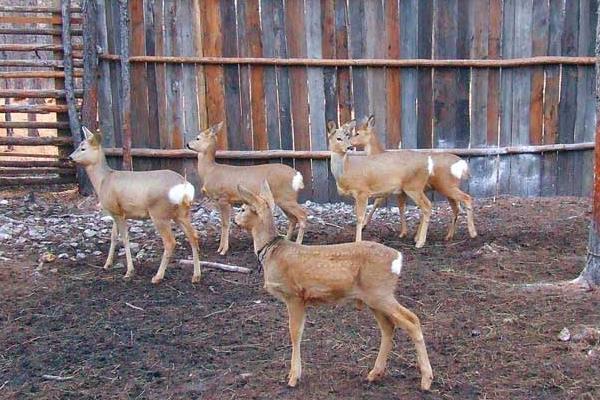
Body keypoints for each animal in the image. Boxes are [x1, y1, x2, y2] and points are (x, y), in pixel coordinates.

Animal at [69, 126, 202, 282]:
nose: (70, 157)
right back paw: (196, 275)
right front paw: (107, 264)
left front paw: (129, 271)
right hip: (181, 213)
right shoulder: (116, 211)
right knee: (193, 236)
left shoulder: (117, 212)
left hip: (159, 213)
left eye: (83, 148)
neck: (103, 180)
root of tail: (185, 187)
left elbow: (125, 238)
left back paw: (158, 276)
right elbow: (113, 237)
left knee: (170, 242)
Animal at [188, 122, 308, 255]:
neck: (210, 171)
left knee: (303, 215)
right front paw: (220, 248)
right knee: (293, 218)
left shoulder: (223, 197)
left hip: (287, 197)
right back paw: (286, 239)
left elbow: (225, 224)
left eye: (197, 138)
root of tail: (298, 176)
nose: (187, 144)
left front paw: (222, 250)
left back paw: (298, 242)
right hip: (282, 199)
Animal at [232, 180, 434, 390]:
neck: (272, 253)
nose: (234, 220)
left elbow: (295, 332)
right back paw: (374, 374)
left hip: (380, 292)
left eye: (243, 208)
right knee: (389, 326)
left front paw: (293, 377)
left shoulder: (294, 295)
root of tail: (398, 258)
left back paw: (426, 380)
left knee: (412, 321)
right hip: (372, 297)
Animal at [326, 120, 434, 248]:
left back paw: (420, 242)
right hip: (415, 188)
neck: (346, 171)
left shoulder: (362, 191)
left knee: (426, 207)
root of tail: (428, 164)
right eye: (338, 138)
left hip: (413, 186)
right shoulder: (356, 195)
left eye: (347, 136)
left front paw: (358, 242)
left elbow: (360, 217)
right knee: (427, 205)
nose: (350, 147)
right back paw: (416, 238)